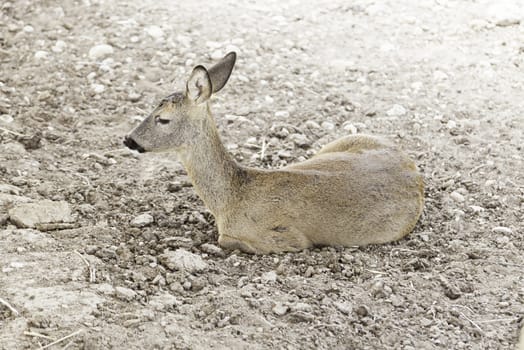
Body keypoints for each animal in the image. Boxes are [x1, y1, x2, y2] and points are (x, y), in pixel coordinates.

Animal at [124, 52, 426, 253]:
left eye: (163, 119)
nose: (129, 139)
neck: (231, 200)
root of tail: (415, 172)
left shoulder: (288, 237)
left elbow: (226, 240)